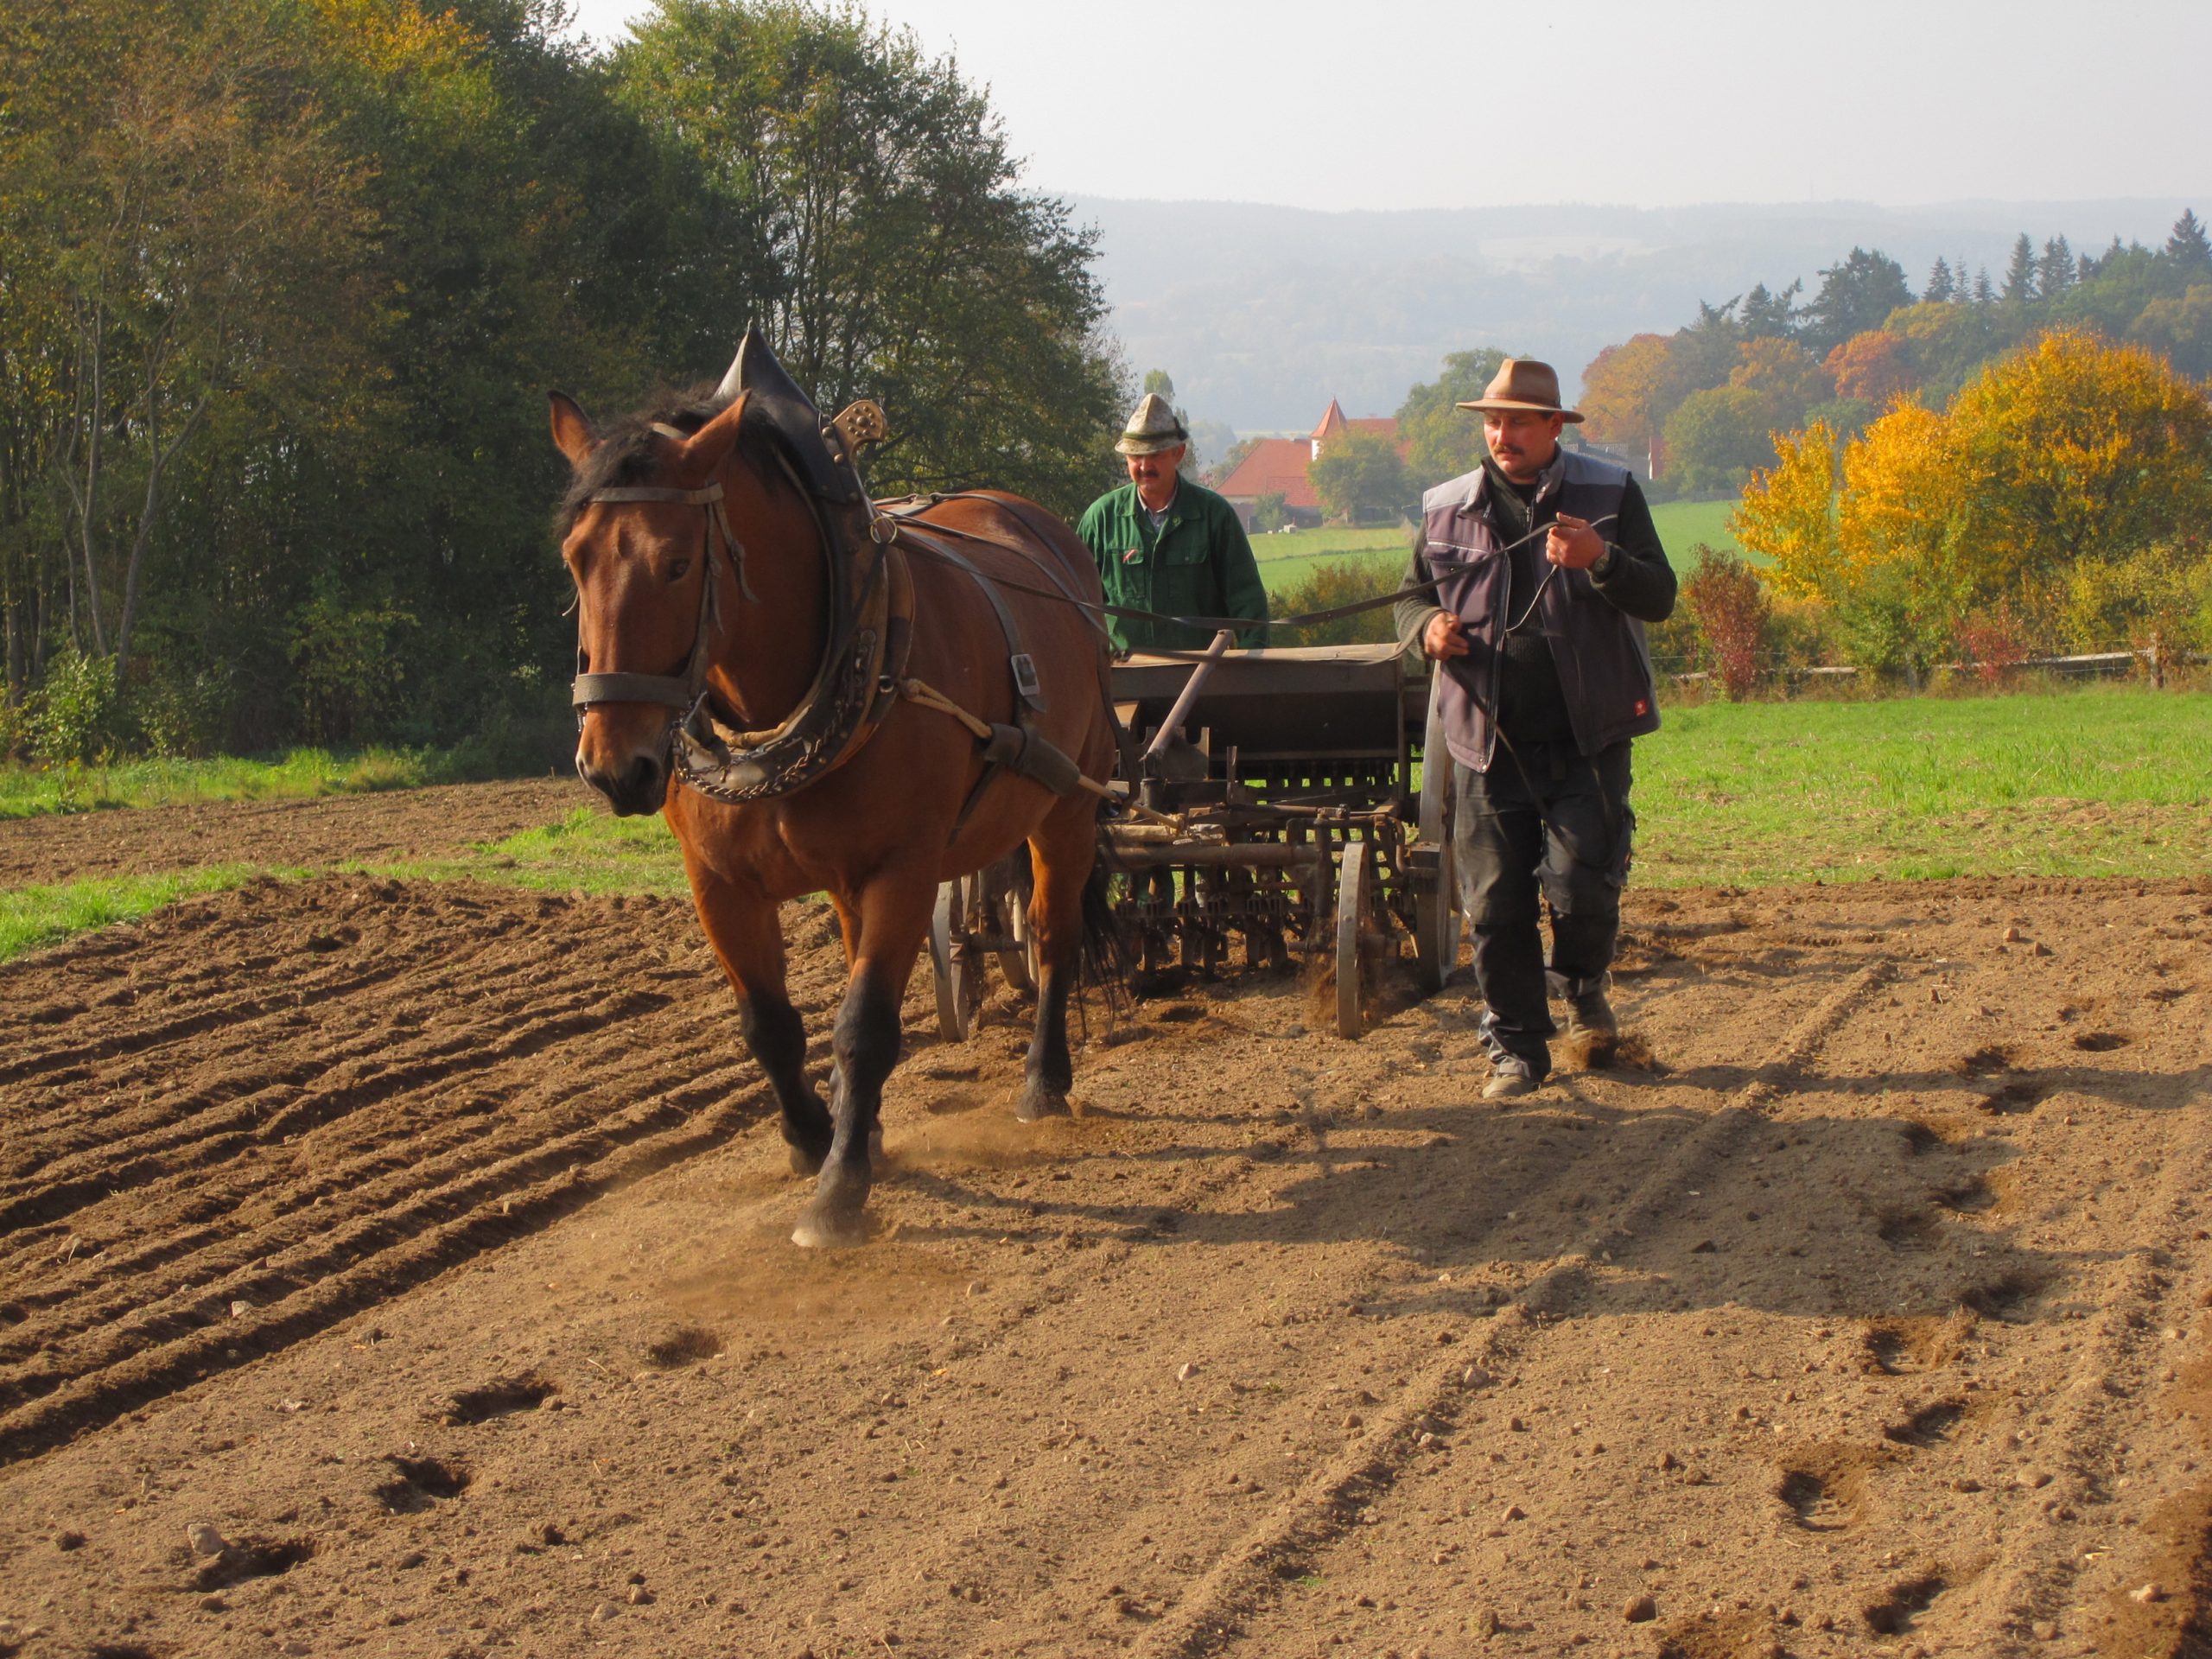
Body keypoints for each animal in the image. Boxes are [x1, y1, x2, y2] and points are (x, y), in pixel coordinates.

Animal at [549, 330, 1120, 1248]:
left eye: (677, 563)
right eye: (576, 560)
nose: (612, 765)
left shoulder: (904, 868)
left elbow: (864, 1025)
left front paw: (839, 1190)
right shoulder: (719, 884)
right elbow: (770, 1025)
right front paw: (815, 1139)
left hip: (1066, 805)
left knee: (1052, 933)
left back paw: (1043, 1080)